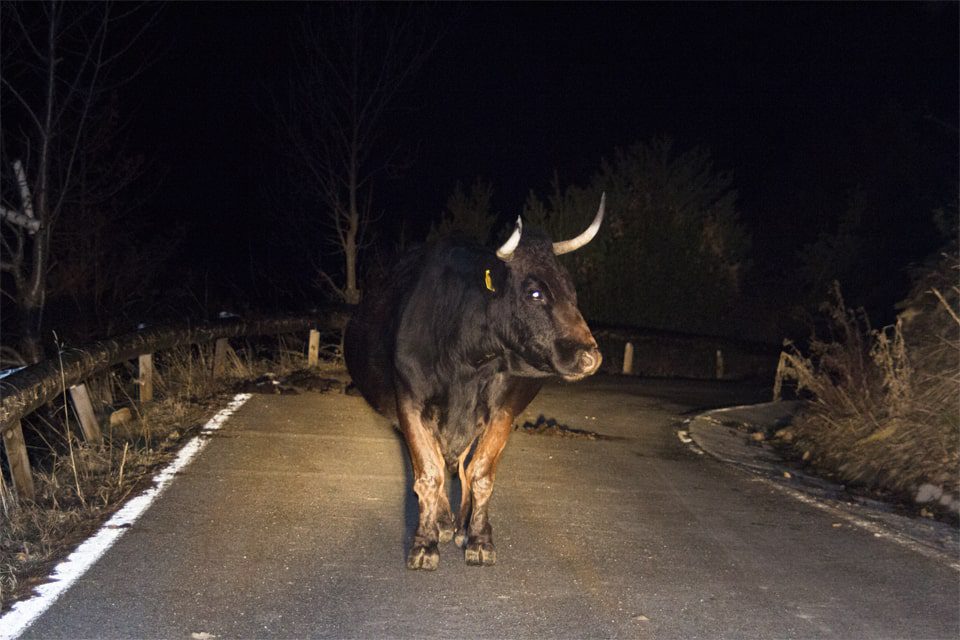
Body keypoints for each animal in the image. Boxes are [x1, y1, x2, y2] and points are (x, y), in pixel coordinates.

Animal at [344, 195, 605, 570]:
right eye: (535, 292)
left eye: (572, 290)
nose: (590, 357)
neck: (464, 359)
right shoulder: (409, 403)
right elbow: (429, 473)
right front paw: (425, 543)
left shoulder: (501, 410)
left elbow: (480, 473)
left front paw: (479, 539)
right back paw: (443, 522)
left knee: (464, 469)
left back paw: (461, 526)